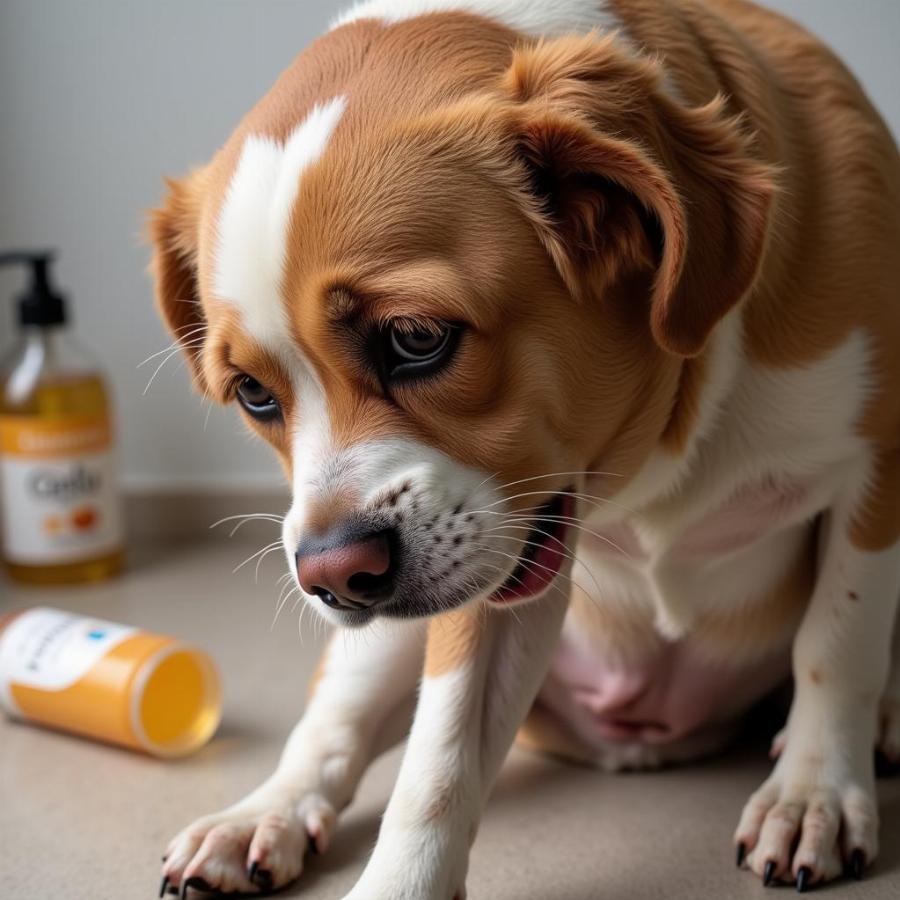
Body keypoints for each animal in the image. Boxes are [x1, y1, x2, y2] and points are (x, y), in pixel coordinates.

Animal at [151, 1, 900, 892]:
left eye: (416, 338)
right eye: (253, 394)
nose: (333, 575)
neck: (662, 450)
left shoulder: (876, 474)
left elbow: (838, 640)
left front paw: (814, 790)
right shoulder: (489, 579)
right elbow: (438, 762)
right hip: (390, 636)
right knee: (331, 729)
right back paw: (258, 814)